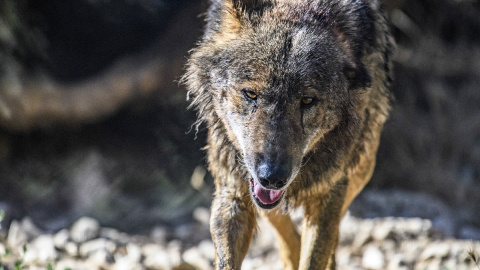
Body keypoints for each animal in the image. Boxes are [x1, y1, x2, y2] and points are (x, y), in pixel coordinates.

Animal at [182, 0, 392, 268]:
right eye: (251, 94)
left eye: (307, 100)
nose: (272, 177)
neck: (296, 8)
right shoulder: (232, 192)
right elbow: (227, 259)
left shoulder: (330, 193)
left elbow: (314, 256)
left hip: (359, 171)